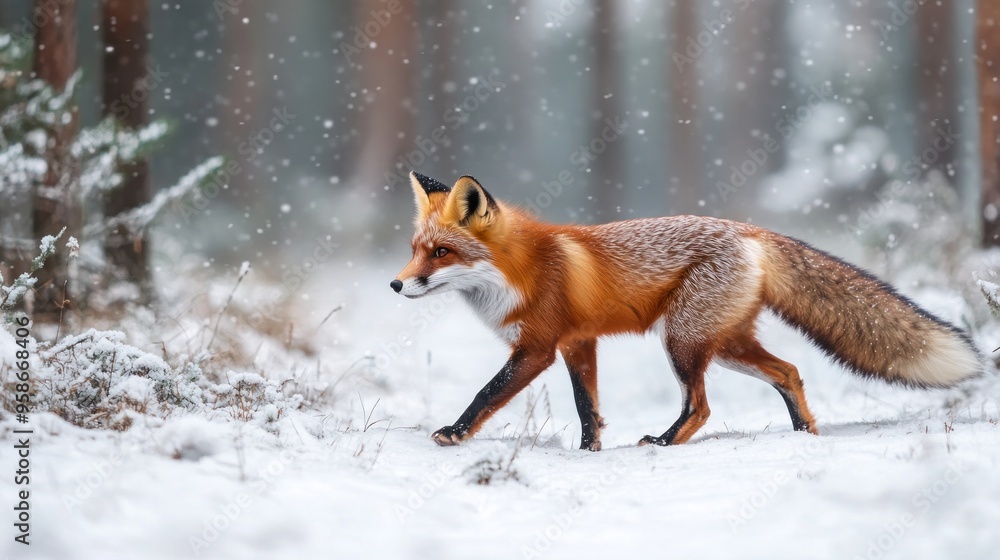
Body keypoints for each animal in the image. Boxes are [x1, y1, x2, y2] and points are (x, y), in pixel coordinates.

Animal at [390, 171, 982, 451]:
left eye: (441, 253)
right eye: (416, 248)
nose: (396, 284)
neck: (524, 270)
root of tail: (750, 231)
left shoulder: (538, 349)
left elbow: (486, 393)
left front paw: (454, 433)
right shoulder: (579, 342)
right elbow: (588, 408)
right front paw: (589, 451)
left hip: (682, 342)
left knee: (701, 407)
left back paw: (664, 442)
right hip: (723, 344)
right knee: (789, 371)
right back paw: (803, 435)